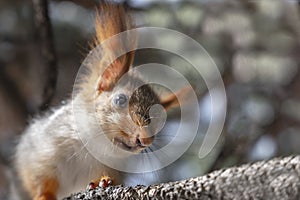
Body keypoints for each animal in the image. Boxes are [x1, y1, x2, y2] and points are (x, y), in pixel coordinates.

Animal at [14, 1, 185, 200]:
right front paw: (44, 195)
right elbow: (39, 180)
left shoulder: (115, 168)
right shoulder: (40, 152)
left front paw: (103, 181)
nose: (145, 140)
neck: (94, 148)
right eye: (120, 99)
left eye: (161, 119)